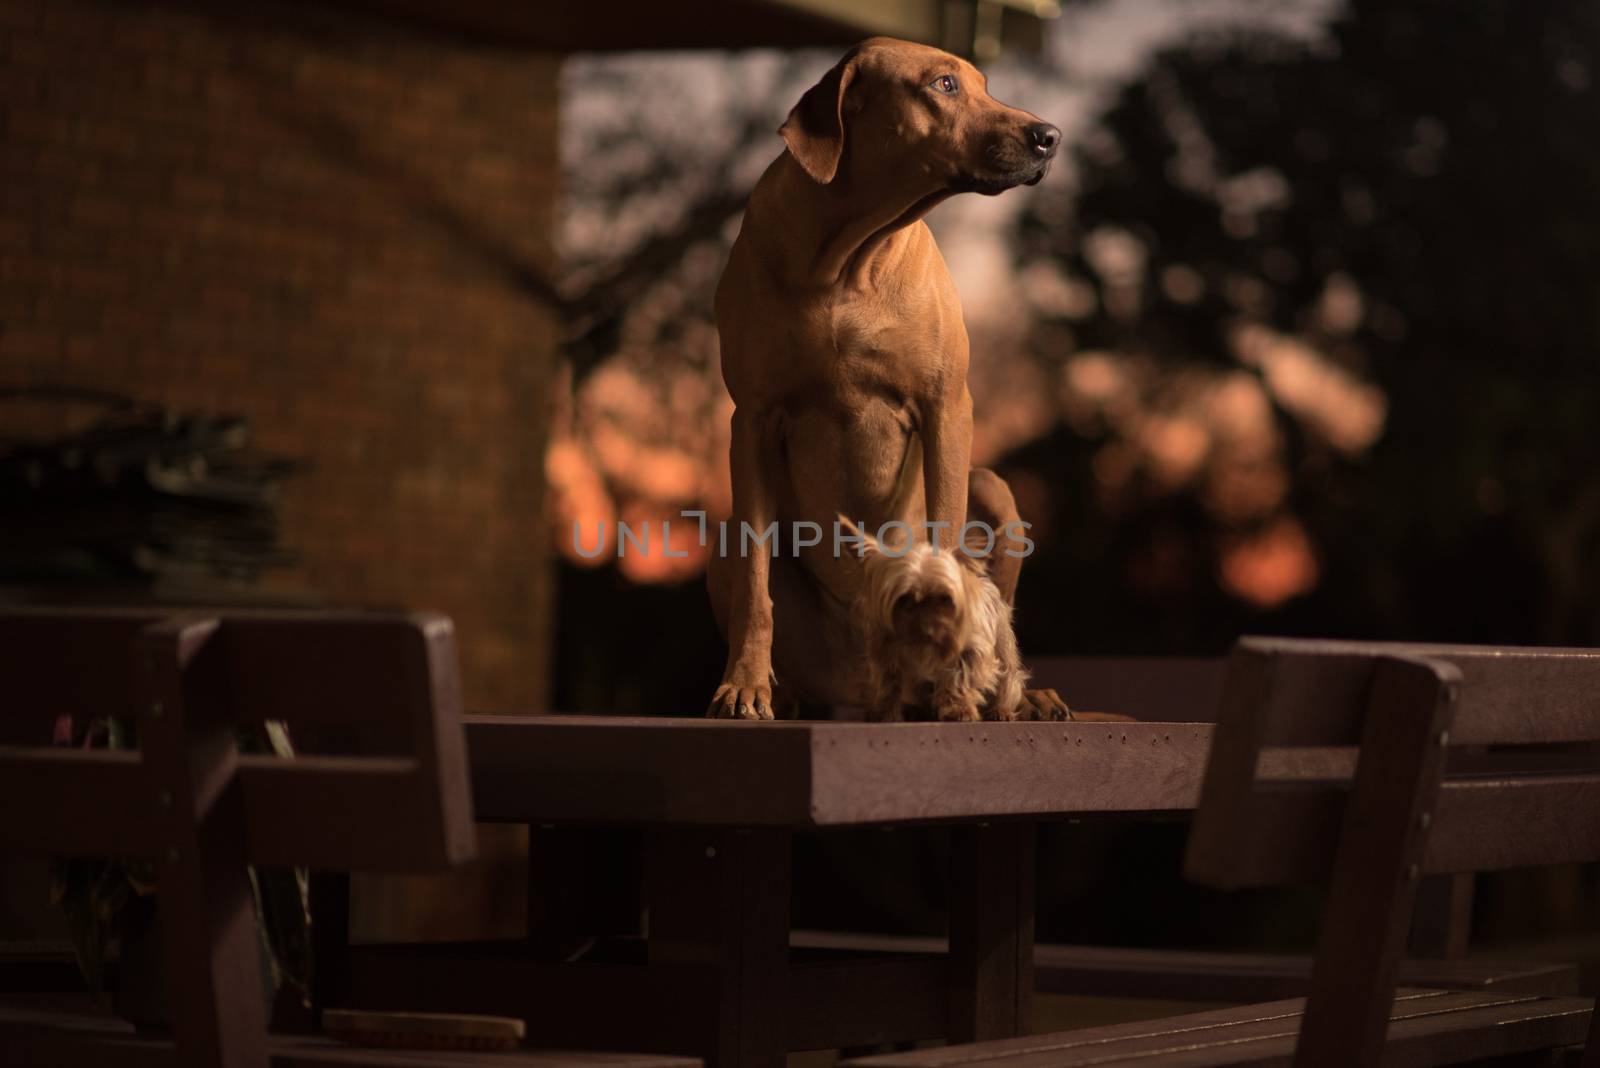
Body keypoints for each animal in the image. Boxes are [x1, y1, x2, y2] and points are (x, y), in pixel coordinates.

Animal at [844, 518, 1030, 725]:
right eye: (903, 599)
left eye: (945, 598)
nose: (928, 632)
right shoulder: (884, 648)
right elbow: (888, 682)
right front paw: (884, 711)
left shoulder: (972, 648)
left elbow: (960, 678)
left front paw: (959, 709)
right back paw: (916, 710)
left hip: (1005, 653)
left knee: (1007, 679)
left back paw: (1000, 710)